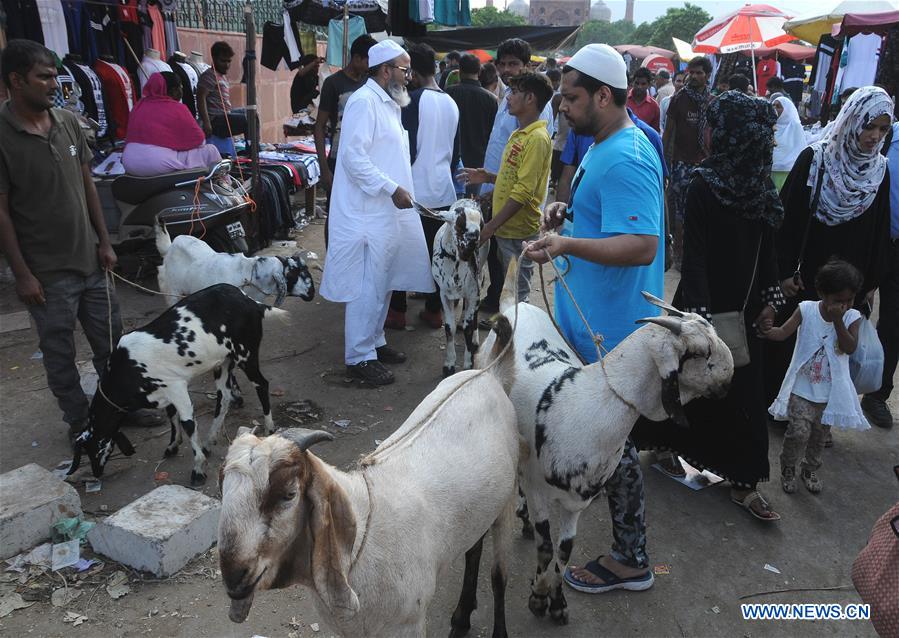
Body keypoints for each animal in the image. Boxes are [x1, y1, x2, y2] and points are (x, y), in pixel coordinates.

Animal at [70, 284, 284, 484]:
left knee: (261, 384)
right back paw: (209, 440)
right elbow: (172, 414)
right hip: (224, 362)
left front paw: (198, 469)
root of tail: (252, 303)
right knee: (224, 397)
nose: (96, 472)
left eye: (93, 448)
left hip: (245, 353)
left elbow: (188, 422)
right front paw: (173, 445)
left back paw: (269, 428)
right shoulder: (164, 389)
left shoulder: (176, 385)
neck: (126, 368)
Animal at [219, 328, 524, 636]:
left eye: (289, 494)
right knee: (473, 551)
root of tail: (490, 372)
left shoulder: (409, 624)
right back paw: (461, 618)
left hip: (508, 499)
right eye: (224, 492)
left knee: (498, 576)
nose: (234, 578)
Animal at [430, 200, 488, 378]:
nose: (471, 248)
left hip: (480, 278)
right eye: (460, 225)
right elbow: (450, 328)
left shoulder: (474, 292)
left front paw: (468, 364)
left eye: (481, 225)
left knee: (474, 313)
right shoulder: (443, 294)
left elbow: (469, 327)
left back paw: (475, 339)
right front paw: (449, 365)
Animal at [474, 268, 736, 628]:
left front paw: (556, 602)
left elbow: (564, 552)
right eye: (698, 352)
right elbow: (546, 547)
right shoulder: (541, 491)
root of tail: (515, 303)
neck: (589, 403)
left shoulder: (576, 503)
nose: (731, 376)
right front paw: (538, 598)